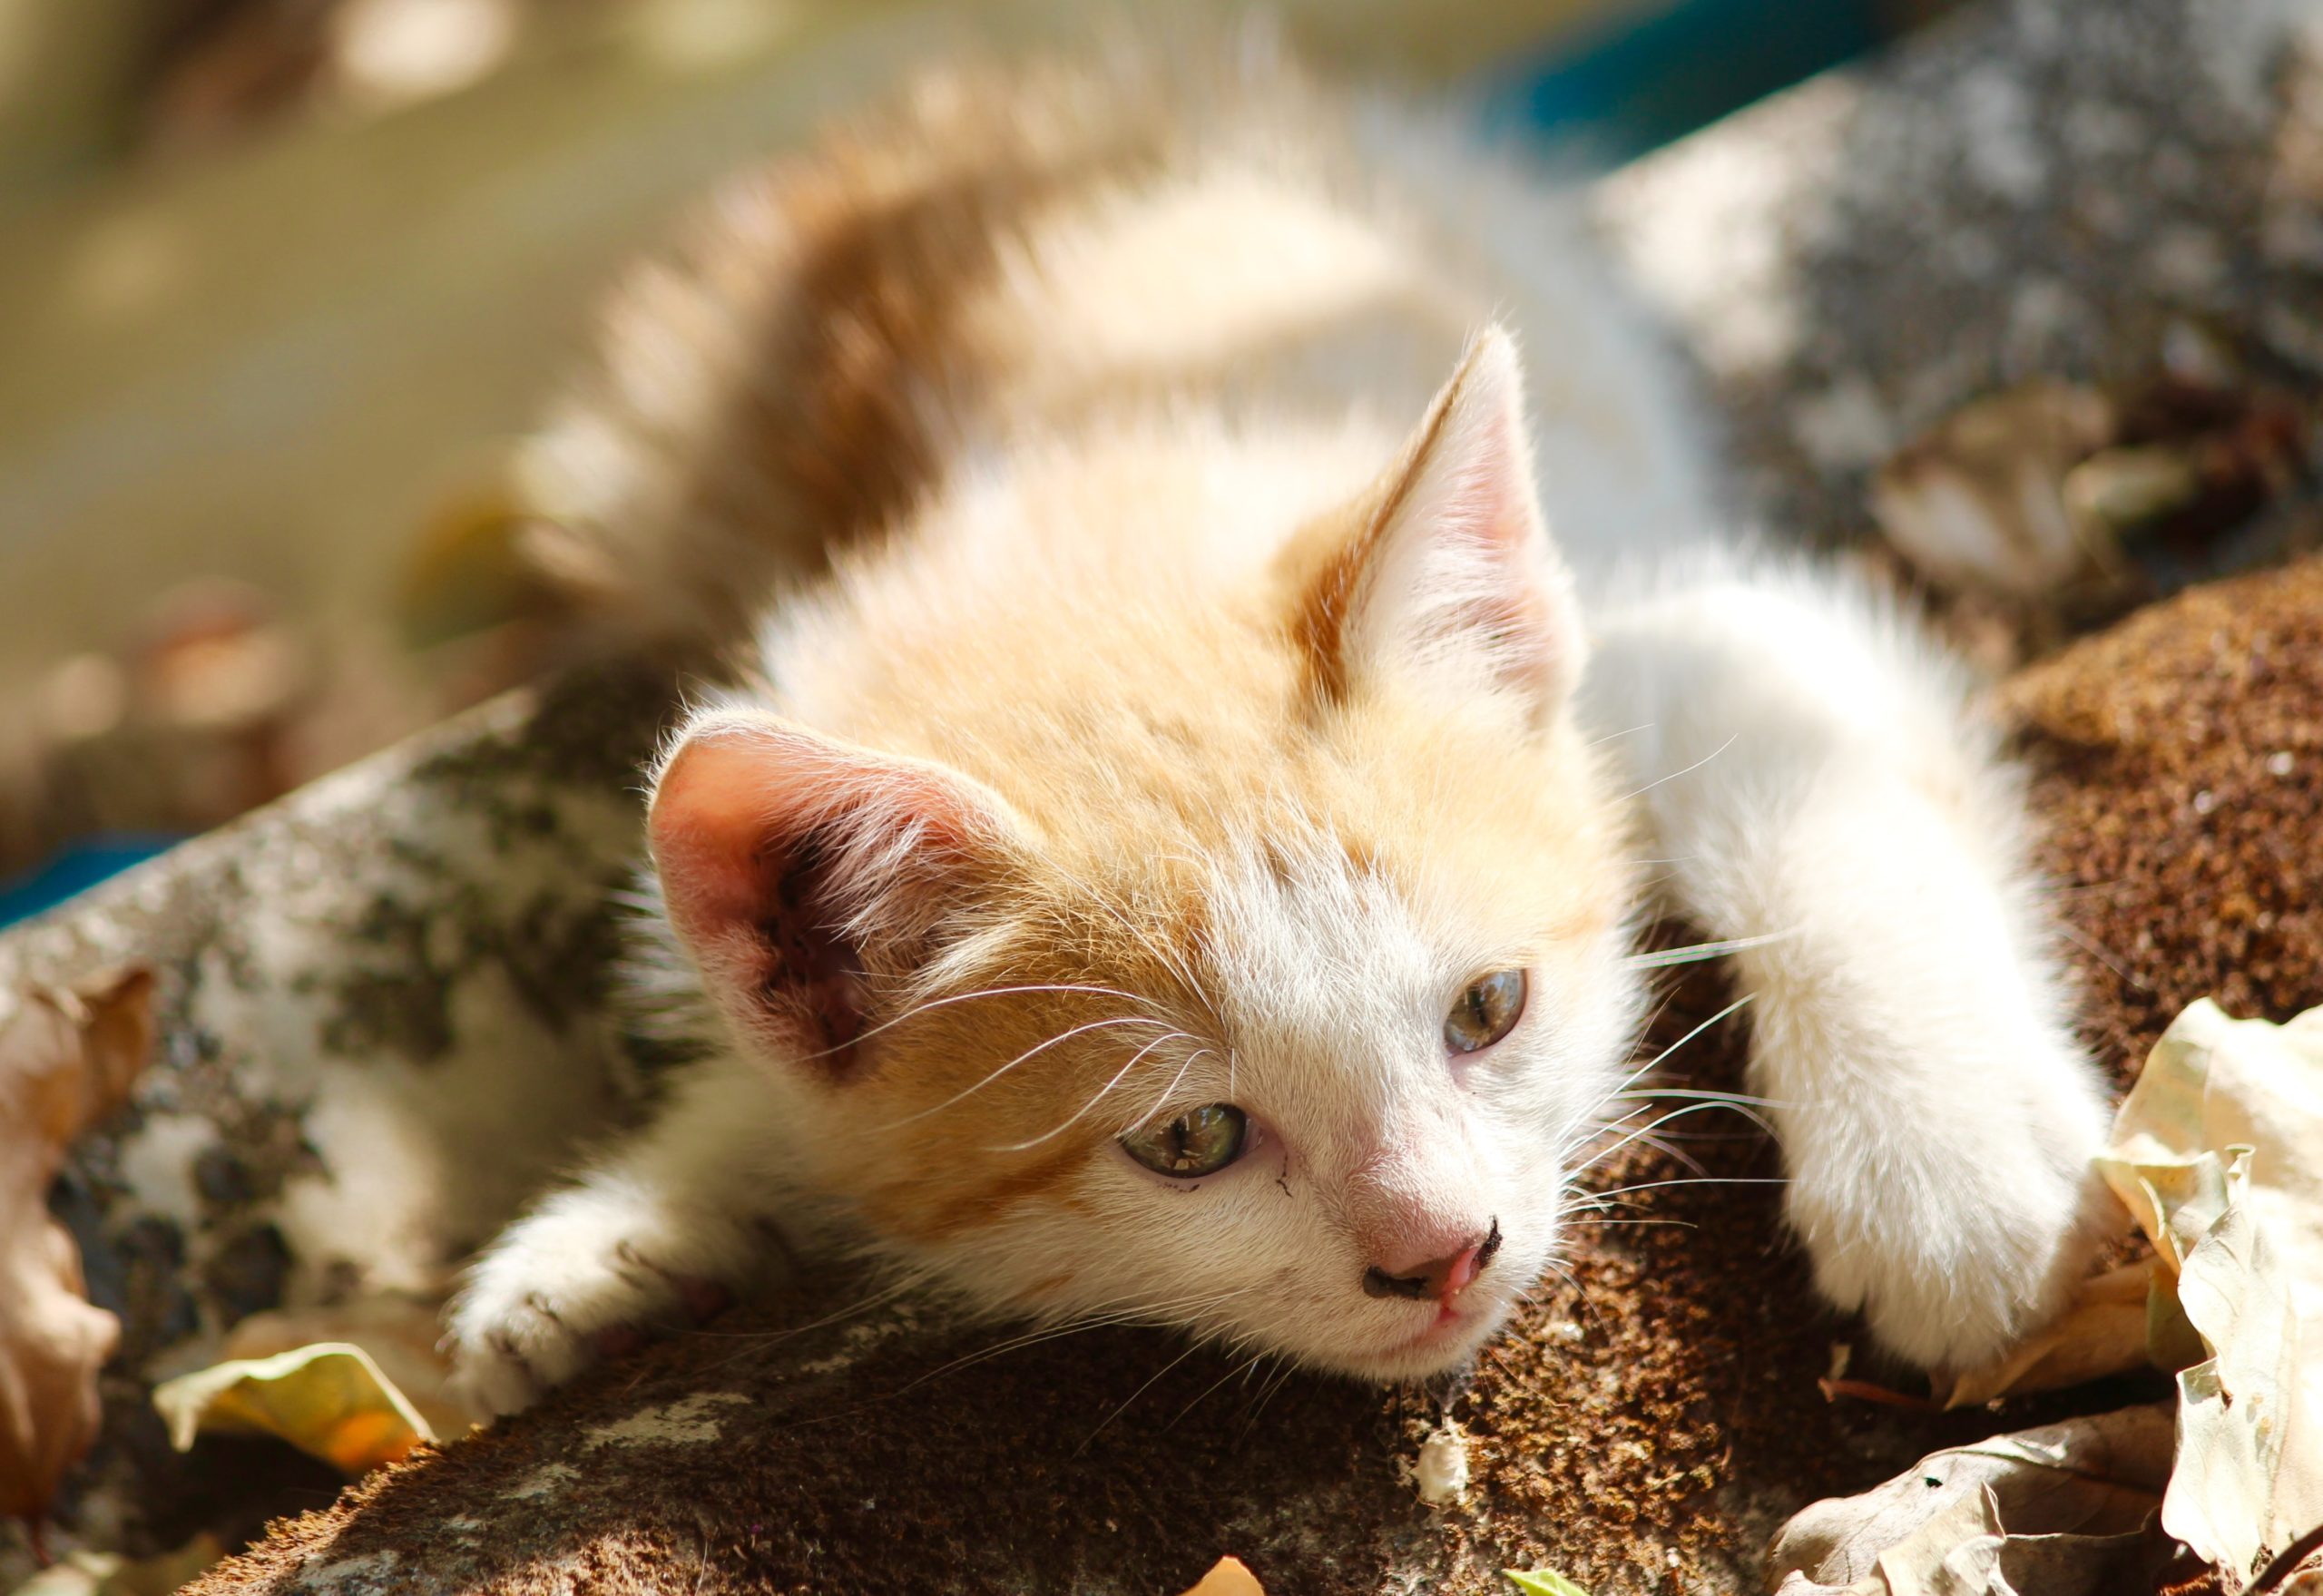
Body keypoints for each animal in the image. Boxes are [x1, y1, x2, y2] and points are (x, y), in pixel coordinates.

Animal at [443, 44, 2118, 1412]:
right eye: (1191, 1140)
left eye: (1490, 1006)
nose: (1442, 1251)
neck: (1083, 537)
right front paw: (619, 1225)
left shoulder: (1677, 622)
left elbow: (1800, 741)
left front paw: (1950, 1167)